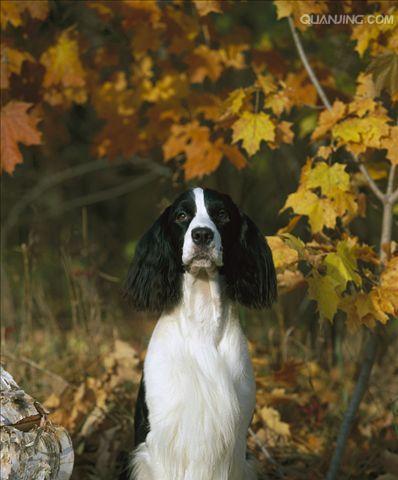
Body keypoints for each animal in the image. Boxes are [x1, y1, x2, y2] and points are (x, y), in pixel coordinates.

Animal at [125, 188, 276, 480]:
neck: (202, 324)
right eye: (182, 215)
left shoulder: (235, 444)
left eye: (222, 214)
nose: (202, 235)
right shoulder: (162, 442)